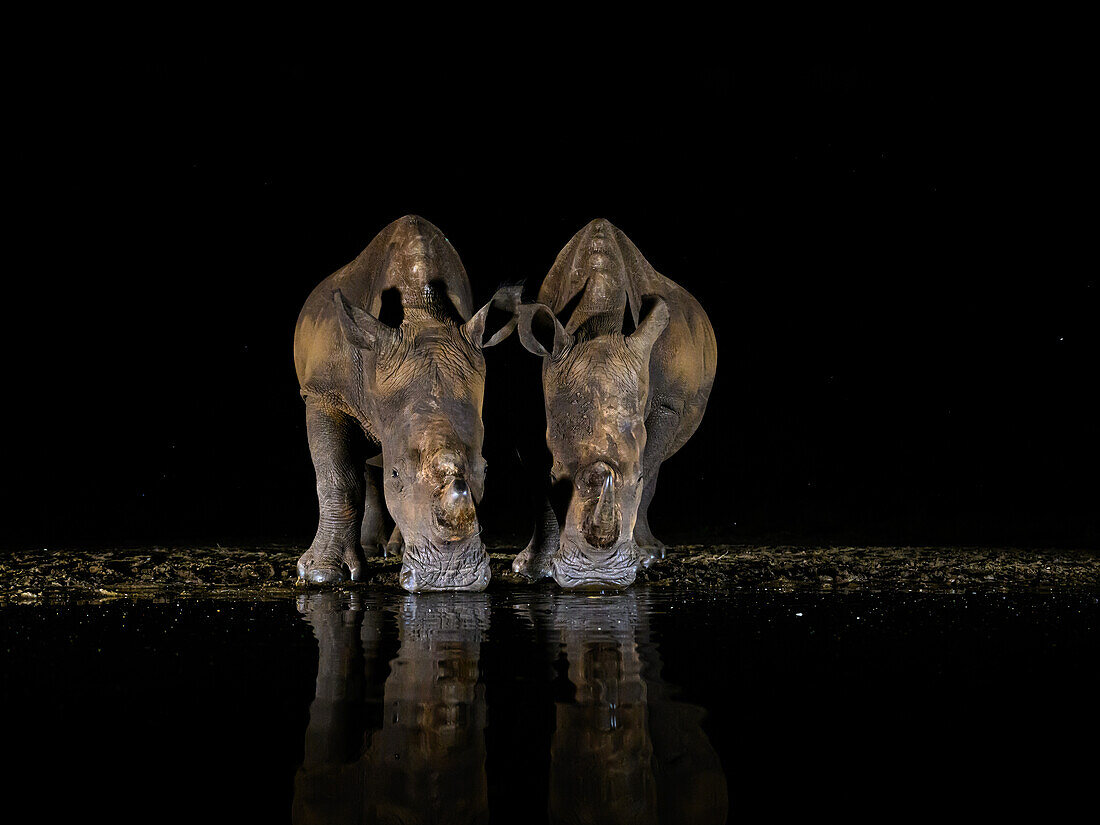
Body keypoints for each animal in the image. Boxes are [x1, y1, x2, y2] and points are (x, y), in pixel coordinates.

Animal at [292, 213, 514, 589]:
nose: (450, 578)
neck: (422, 312)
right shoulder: (323, 394)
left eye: (486, 469)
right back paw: (372, 550)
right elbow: (337, 478)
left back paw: (391, 549)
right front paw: (322, 575)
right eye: (396, 474)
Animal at [517, 220, 721, 589]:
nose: (596, 580)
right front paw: (530, 569)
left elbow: (650, 466)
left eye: (636, 479)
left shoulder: (667, 407)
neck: (596, 320)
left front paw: (647, 557)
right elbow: (538, 484)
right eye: (556, 474)